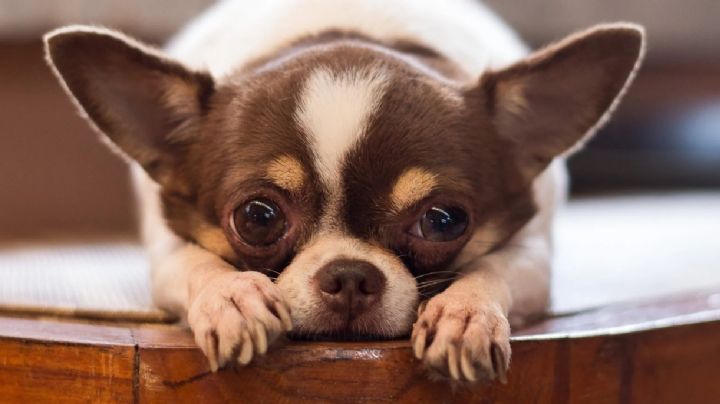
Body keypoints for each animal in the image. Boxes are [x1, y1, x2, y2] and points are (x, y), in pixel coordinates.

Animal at [42, 0, 644, 382]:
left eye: (443, 220)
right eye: (257, 218)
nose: (351, 275)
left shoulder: (534, 253)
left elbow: (491, 268)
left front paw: (464, 313)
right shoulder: (167, 245)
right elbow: (196, 263)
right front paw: (232, 298)